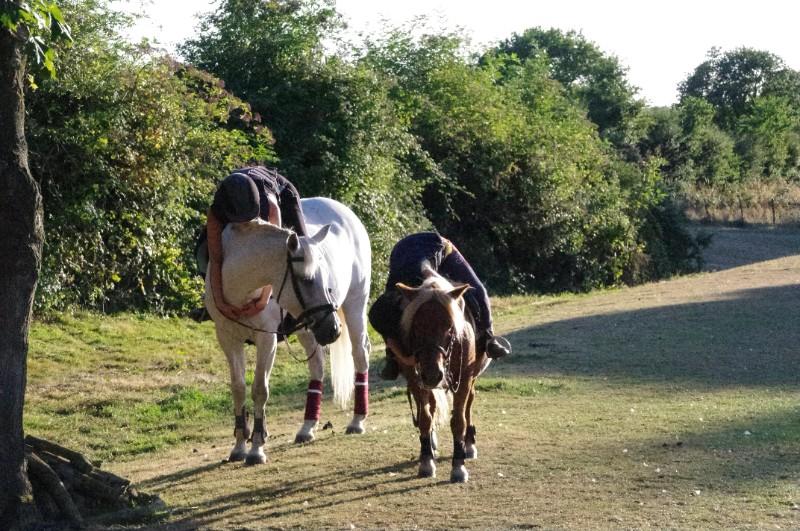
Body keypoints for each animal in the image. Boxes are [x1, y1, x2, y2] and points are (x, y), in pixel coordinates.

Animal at [205, 196, 370, 466]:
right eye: (306, 279)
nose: (333, 329)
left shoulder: (267, 339)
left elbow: (260, 389)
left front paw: (257, 447)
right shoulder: (227, 339)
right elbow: (238, 388)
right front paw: (239, 445)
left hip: (355, 304)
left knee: (360, 355)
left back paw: (357, 420)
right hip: (309, 327)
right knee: (317, 365)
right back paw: (308, 426)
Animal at [392, 270, 488, 482]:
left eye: (449, 326)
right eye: (416, 326)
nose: (432, 374)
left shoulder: (464, 378)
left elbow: (459, 420)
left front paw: (459, 466)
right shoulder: (416, 379)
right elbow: (425, 418)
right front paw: (426, 461)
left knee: (469, 403)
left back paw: (469, 444)